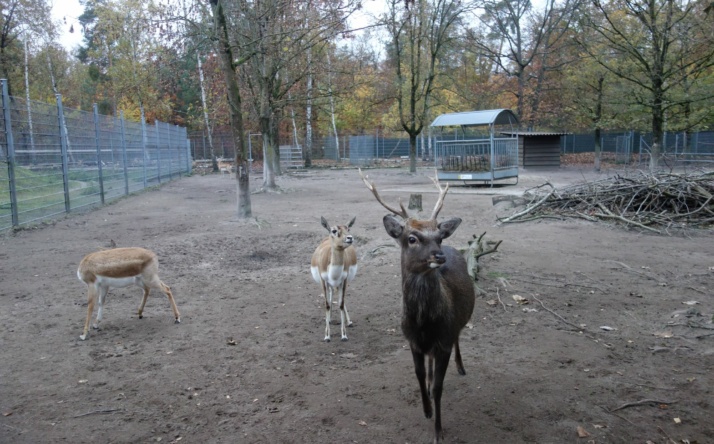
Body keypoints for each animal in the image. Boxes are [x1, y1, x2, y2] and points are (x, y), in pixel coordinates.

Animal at [362, 168, 472, 442]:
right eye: (411, 238)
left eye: (439, 237)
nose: (439, 255)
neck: (423, 324)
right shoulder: (412, 341)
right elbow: (419, 375)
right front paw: (426, 409)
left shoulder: (443, 340)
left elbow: (440, 386)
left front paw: (438, 431)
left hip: (457, 326)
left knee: (458, 338)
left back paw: (461, 367)